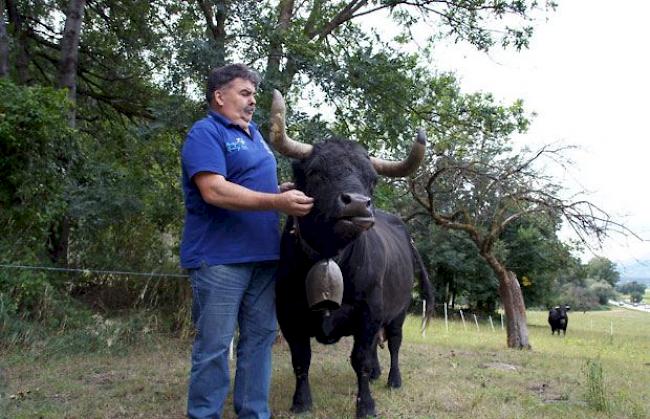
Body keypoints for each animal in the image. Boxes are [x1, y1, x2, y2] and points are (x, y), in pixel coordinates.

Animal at [266, 90, 432, 418]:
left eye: (372, 179)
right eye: (316, 172)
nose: (357, 203)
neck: (330, 256)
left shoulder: (369, 311)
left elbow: (361, 360)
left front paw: (366, 405)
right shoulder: (289, 315)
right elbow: (301, 360)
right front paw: (301, 402)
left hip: (399, 311)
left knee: (394, 343)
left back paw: (393, 379)